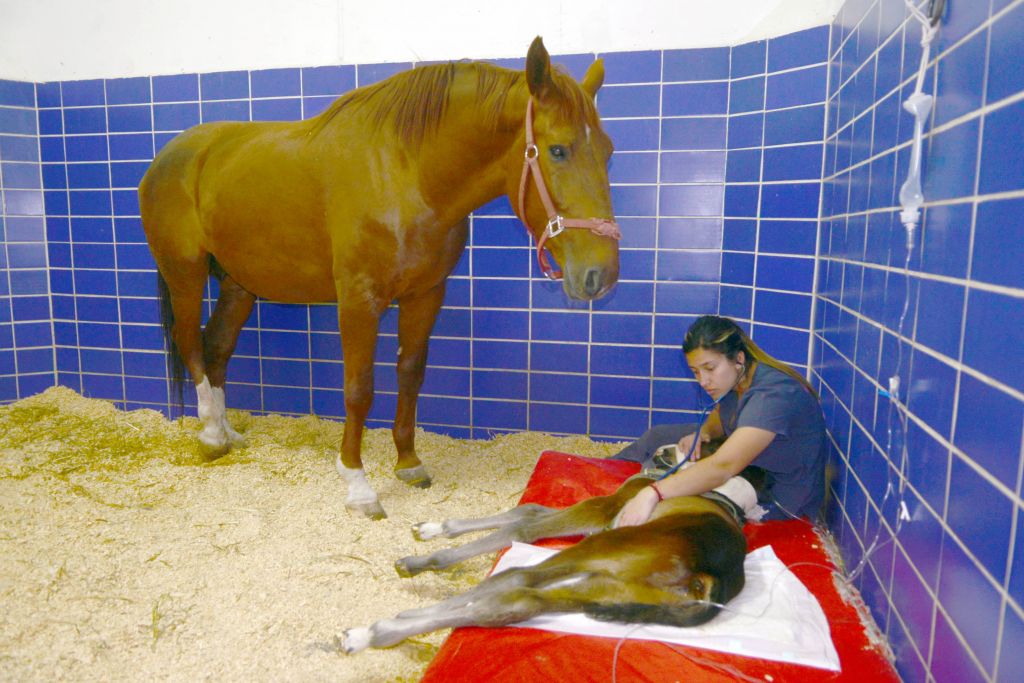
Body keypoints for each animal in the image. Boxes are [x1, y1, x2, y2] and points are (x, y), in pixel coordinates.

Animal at [139, 37, 618, 518]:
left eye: (609, 151)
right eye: (557, 150)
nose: (602, 273)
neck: (407, 174)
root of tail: (170, 155)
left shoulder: (425, 294)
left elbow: (410, 373)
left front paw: (408, 462)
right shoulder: (359, 300)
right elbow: (359, 389)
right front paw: (358, 484)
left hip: (239, 284)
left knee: (217, 346)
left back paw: (225, 430)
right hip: (185, 273)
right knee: (189, 342)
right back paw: (211, 436)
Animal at [339, 454, 765, 655]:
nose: (660, 456)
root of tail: (711, 579)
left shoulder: (603, 511)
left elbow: (522, 526)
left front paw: (426, 557)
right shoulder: (599, 517)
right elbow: (529, 511)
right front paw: (433, 529)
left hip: (602, 549)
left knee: (515, 578)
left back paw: (376, 629)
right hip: (605, 589)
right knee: (520, 600)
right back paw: (380, 630)